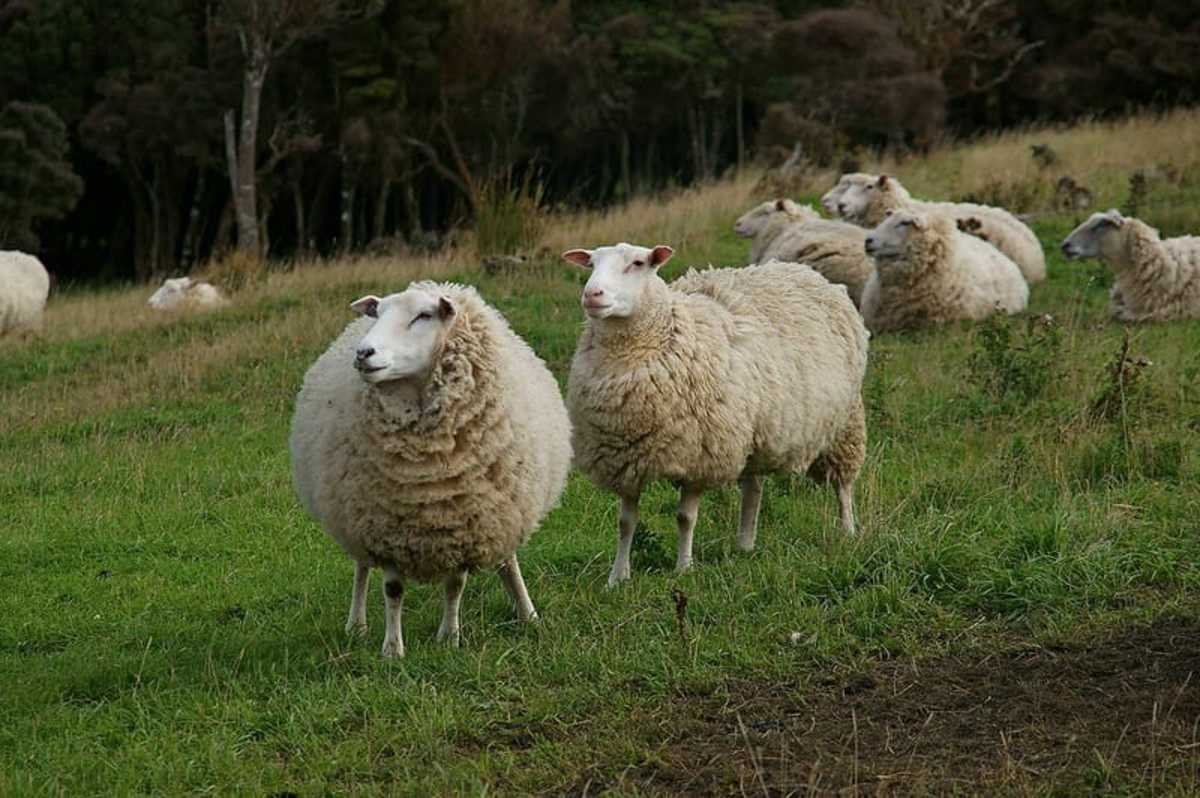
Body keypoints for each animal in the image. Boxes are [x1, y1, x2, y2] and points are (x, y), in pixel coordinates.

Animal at [289, 282, 572, 657]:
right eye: (377, 314)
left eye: (423, 316)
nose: (363, 353)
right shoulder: (387, 527)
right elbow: (393, 590)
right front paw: (393, 650)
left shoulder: (465, 524)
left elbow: (455, 585)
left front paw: (449, 638)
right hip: (354, 514)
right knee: (362, 567)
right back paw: (356, 625)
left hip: (506, 509)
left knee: (507, 559)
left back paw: (528, 614)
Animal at [562, 243, 868, 586]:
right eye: (591, 263)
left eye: (638, 263)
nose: (592, 294)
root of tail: (803, 271)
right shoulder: (628, 462)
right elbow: (626, 523)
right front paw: (617, 577)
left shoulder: (701, 457)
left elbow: (685, 517)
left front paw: (684, 568)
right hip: (754, 431)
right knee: (753, 488)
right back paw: (745, 543)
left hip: (845, 423)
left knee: (843, 484)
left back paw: (847, 529)